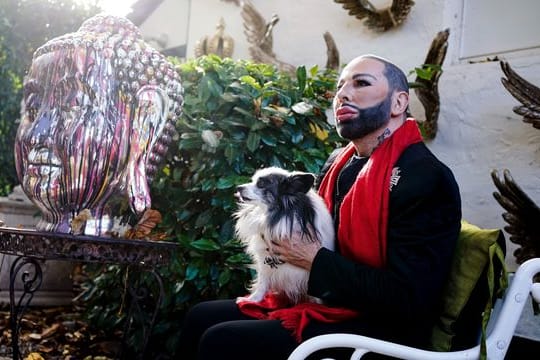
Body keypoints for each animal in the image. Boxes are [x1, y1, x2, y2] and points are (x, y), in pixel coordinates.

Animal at [233, 166, 334, 304]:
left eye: (261, 184)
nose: (238, 187)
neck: (280, 215)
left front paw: (318, 305)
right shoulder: (264, 262)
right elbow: (262, 282)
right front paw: (254, 299)